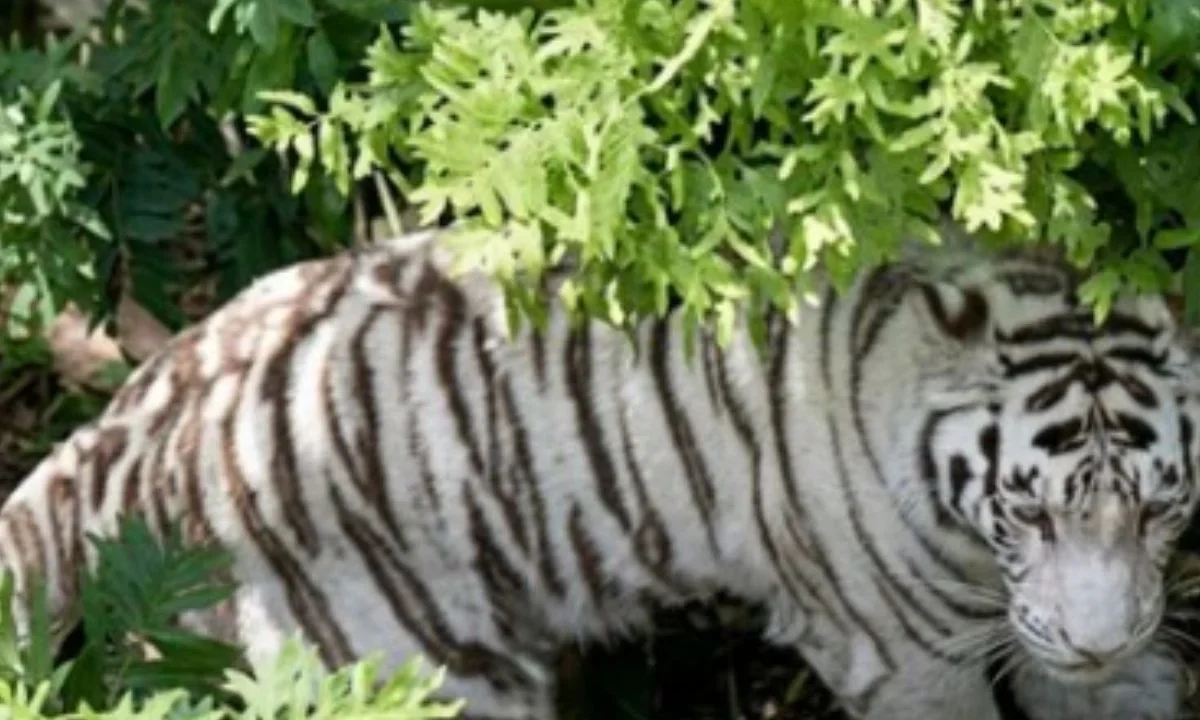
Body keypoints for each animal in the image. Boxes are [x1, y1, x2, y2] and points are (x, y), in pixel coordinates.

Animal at [0, 223, 1196, 720]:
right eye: (1027, 514)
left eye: (1156, 510)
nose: (1098, 637)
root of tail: (128, 422)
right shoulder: (898, 657)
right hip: (420, 678)